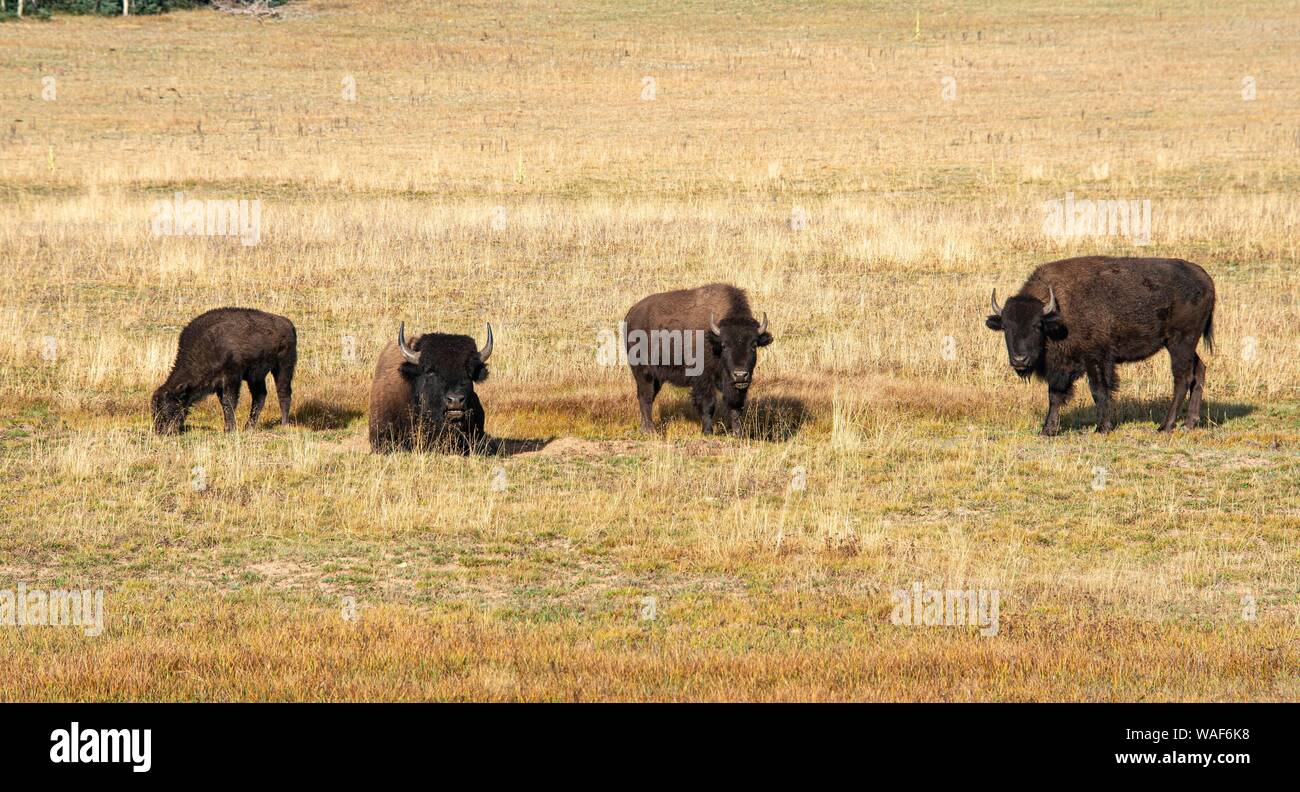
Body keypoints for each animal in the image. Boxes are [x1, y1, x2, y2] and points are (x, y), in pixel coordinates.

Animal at [151, 307, 297, 435]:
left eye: (170, 408)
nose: (161, 431)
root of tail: (288, 323)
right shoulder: (219, 384)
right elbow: (224, 404)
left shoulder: (232, 378)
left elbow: (229, 402)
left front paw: (229, 429)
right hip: (256, 376)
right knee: (260, 396)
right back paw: (248, 427)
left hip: (284, 366)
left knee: (283, 393)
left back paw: (284, 424)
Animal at [624, 283, 772, 434]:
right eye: (724, 345)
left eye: (754, 345)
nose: (740, 375)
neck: (714, 341)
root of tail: (631, 313)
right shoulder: (703, 379)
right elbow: (708, 404)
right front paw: (708, 431)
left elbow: (735, 406)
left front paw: (738, 433)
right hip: (643, 372)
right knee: (646, 397)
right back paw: (650, 430)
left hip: (657, 377)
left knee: (647, 396)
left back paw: (644, 429)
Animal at [986, 256, 1215, 435]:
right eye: (1006, 327)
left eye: (1036, 325)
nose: (1019, 360)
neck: (1057, 313)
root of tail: (1205, 278)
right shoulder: (1060, 368)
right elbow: (1055, 395)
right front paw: (1047, 430)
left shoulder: (1096, 359)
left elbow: (1098, 391)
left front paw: (1102, 428)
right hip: (1182, 345)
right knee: (1199, 371)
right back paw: (1189, 424)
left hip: (1180, 343)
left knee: (1182, 378)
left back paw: (1165, 426)